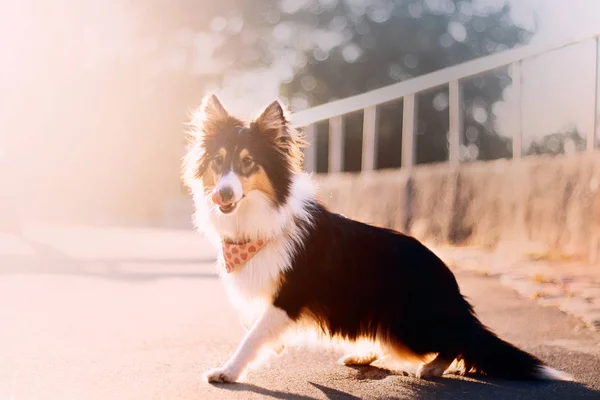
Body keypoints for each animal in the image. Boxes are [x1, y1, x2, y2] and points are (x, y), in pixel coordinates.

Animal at [183, 94, 572, 384]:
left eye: (249, 163)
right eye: (218, 162)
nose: (221, 195)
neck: (260, 217)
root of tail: (453, 289)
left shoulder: (289, 297)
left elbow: (252, 336)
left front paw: (228, 371)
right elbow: (253, 326)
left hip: (410, 323)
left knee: (459, 340)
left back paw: (431, 366)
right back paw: (364, 355)